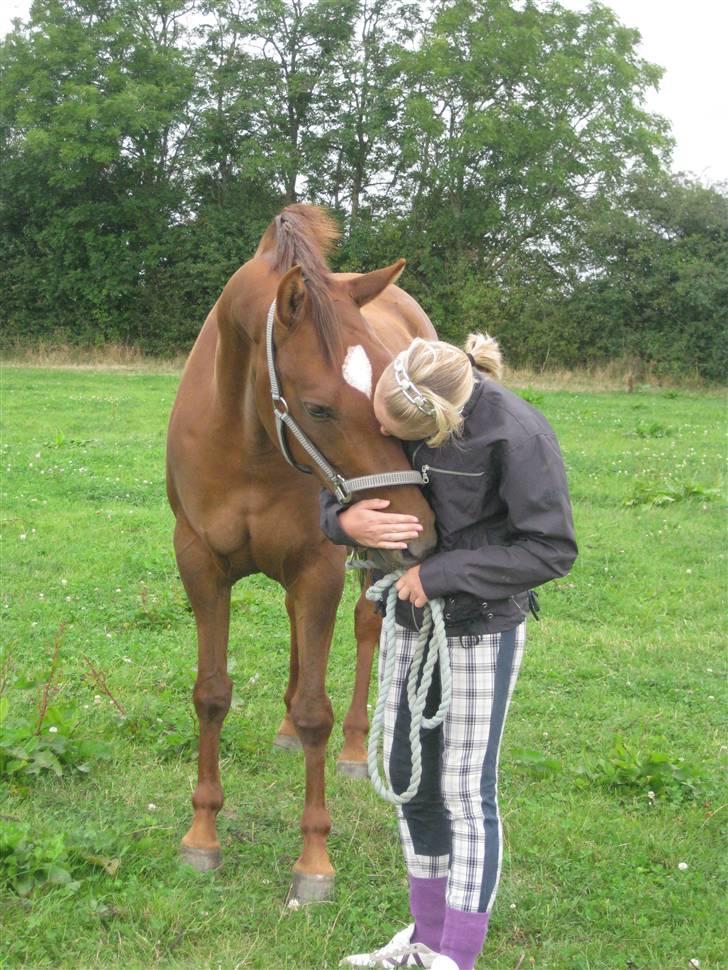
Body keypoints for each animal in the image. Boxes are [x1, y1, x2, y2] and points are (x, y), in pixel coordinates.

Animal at [166, 204, 432, 900]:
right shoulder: (199, 562)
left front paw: (313, 861)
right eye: (318, 407)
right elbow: (211, 694)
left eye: (392, 393)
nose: (420, 532)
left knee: (366, 629)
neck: (249, 441)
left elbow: (318, 708)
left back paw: (354, 751)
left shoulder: (320, 567)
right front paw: (202, 835)